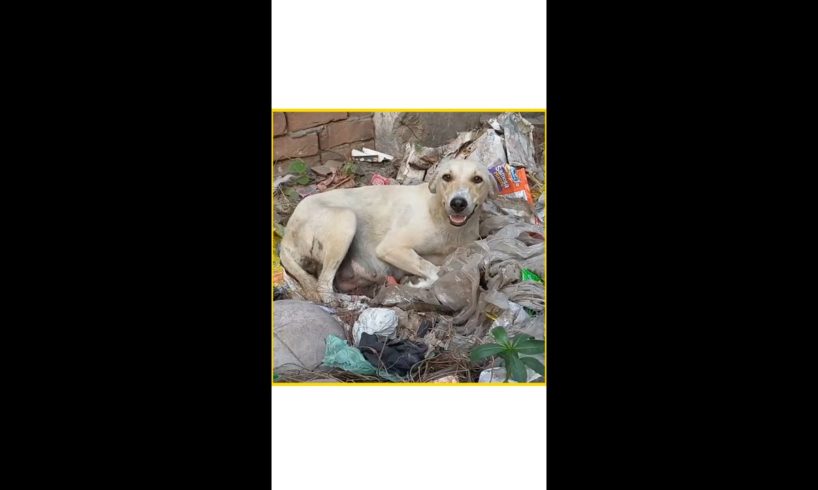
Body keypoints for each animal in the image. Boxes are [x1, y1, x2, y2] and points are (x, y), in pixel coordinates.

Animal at [278, 158, 494, 302]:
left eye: (477, 179)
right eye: (447, 177)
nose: (458, 203)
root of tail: (285, 240)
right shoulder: (390, 247)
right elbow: (434, 271)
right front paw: (419, 284)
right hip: (346, 220)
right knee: (323, 286)